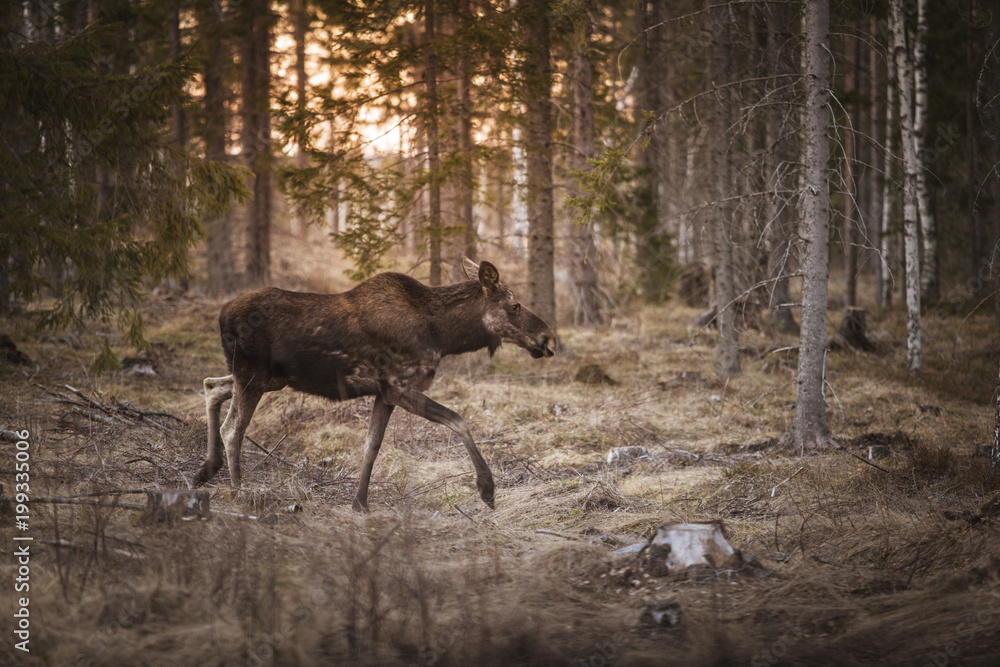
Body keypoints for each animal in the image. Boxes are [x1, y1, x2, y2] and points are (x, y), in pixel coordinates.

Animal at [194, 257, 555, 511]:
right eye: (514, 305)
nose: (548, 338)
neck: (444, 336)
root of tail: (221, 315)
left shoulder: (385, 393)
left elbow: (372, 445)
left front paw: (360, 503)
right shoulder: (399, 385)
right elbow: (459, 420)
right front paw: (487, 487)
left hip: (269, 378)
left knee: (212, 385)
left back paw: (207, 470)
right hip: (253, 375)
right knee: (232, 428)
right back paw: (239, 491)